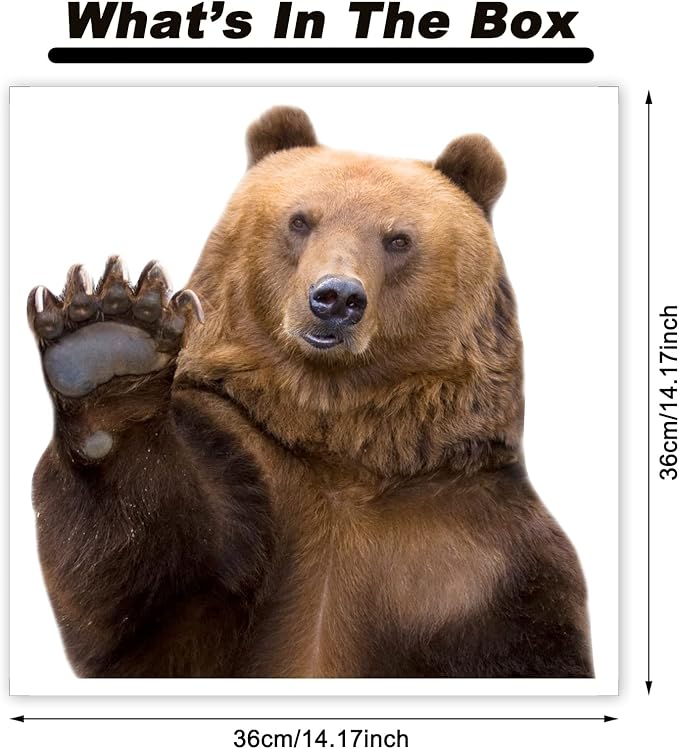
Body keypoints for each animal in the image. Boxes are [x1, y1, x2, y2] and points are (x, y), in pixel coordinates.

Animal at [27, 106, 593, 678]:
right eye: (300, 220)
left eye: (398, 238)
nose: (336, 297)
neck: (342, 442)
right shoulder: (246, 474)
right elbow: (143, 592)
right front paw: (107, 347)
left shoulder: (487, 561)